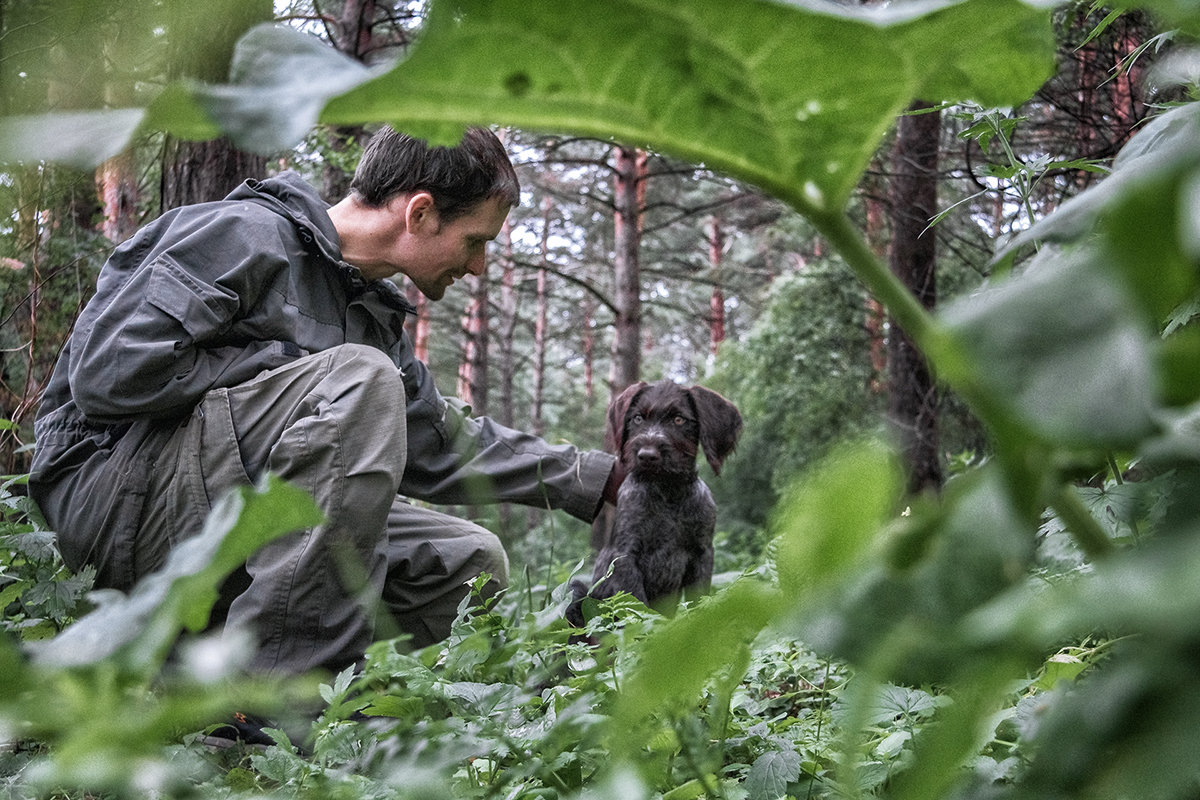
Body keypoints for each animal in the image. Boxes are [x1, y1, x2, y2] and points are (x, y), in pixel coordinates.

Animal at [564, 381, 739, 623]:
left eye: (678, 420)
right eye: (638, 418)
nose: (647, 455)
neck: (668, 492)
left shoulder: (702, 554)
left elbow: (699, 601)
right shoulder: (625, 556)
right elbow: (638, 609)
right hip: (576, 591)